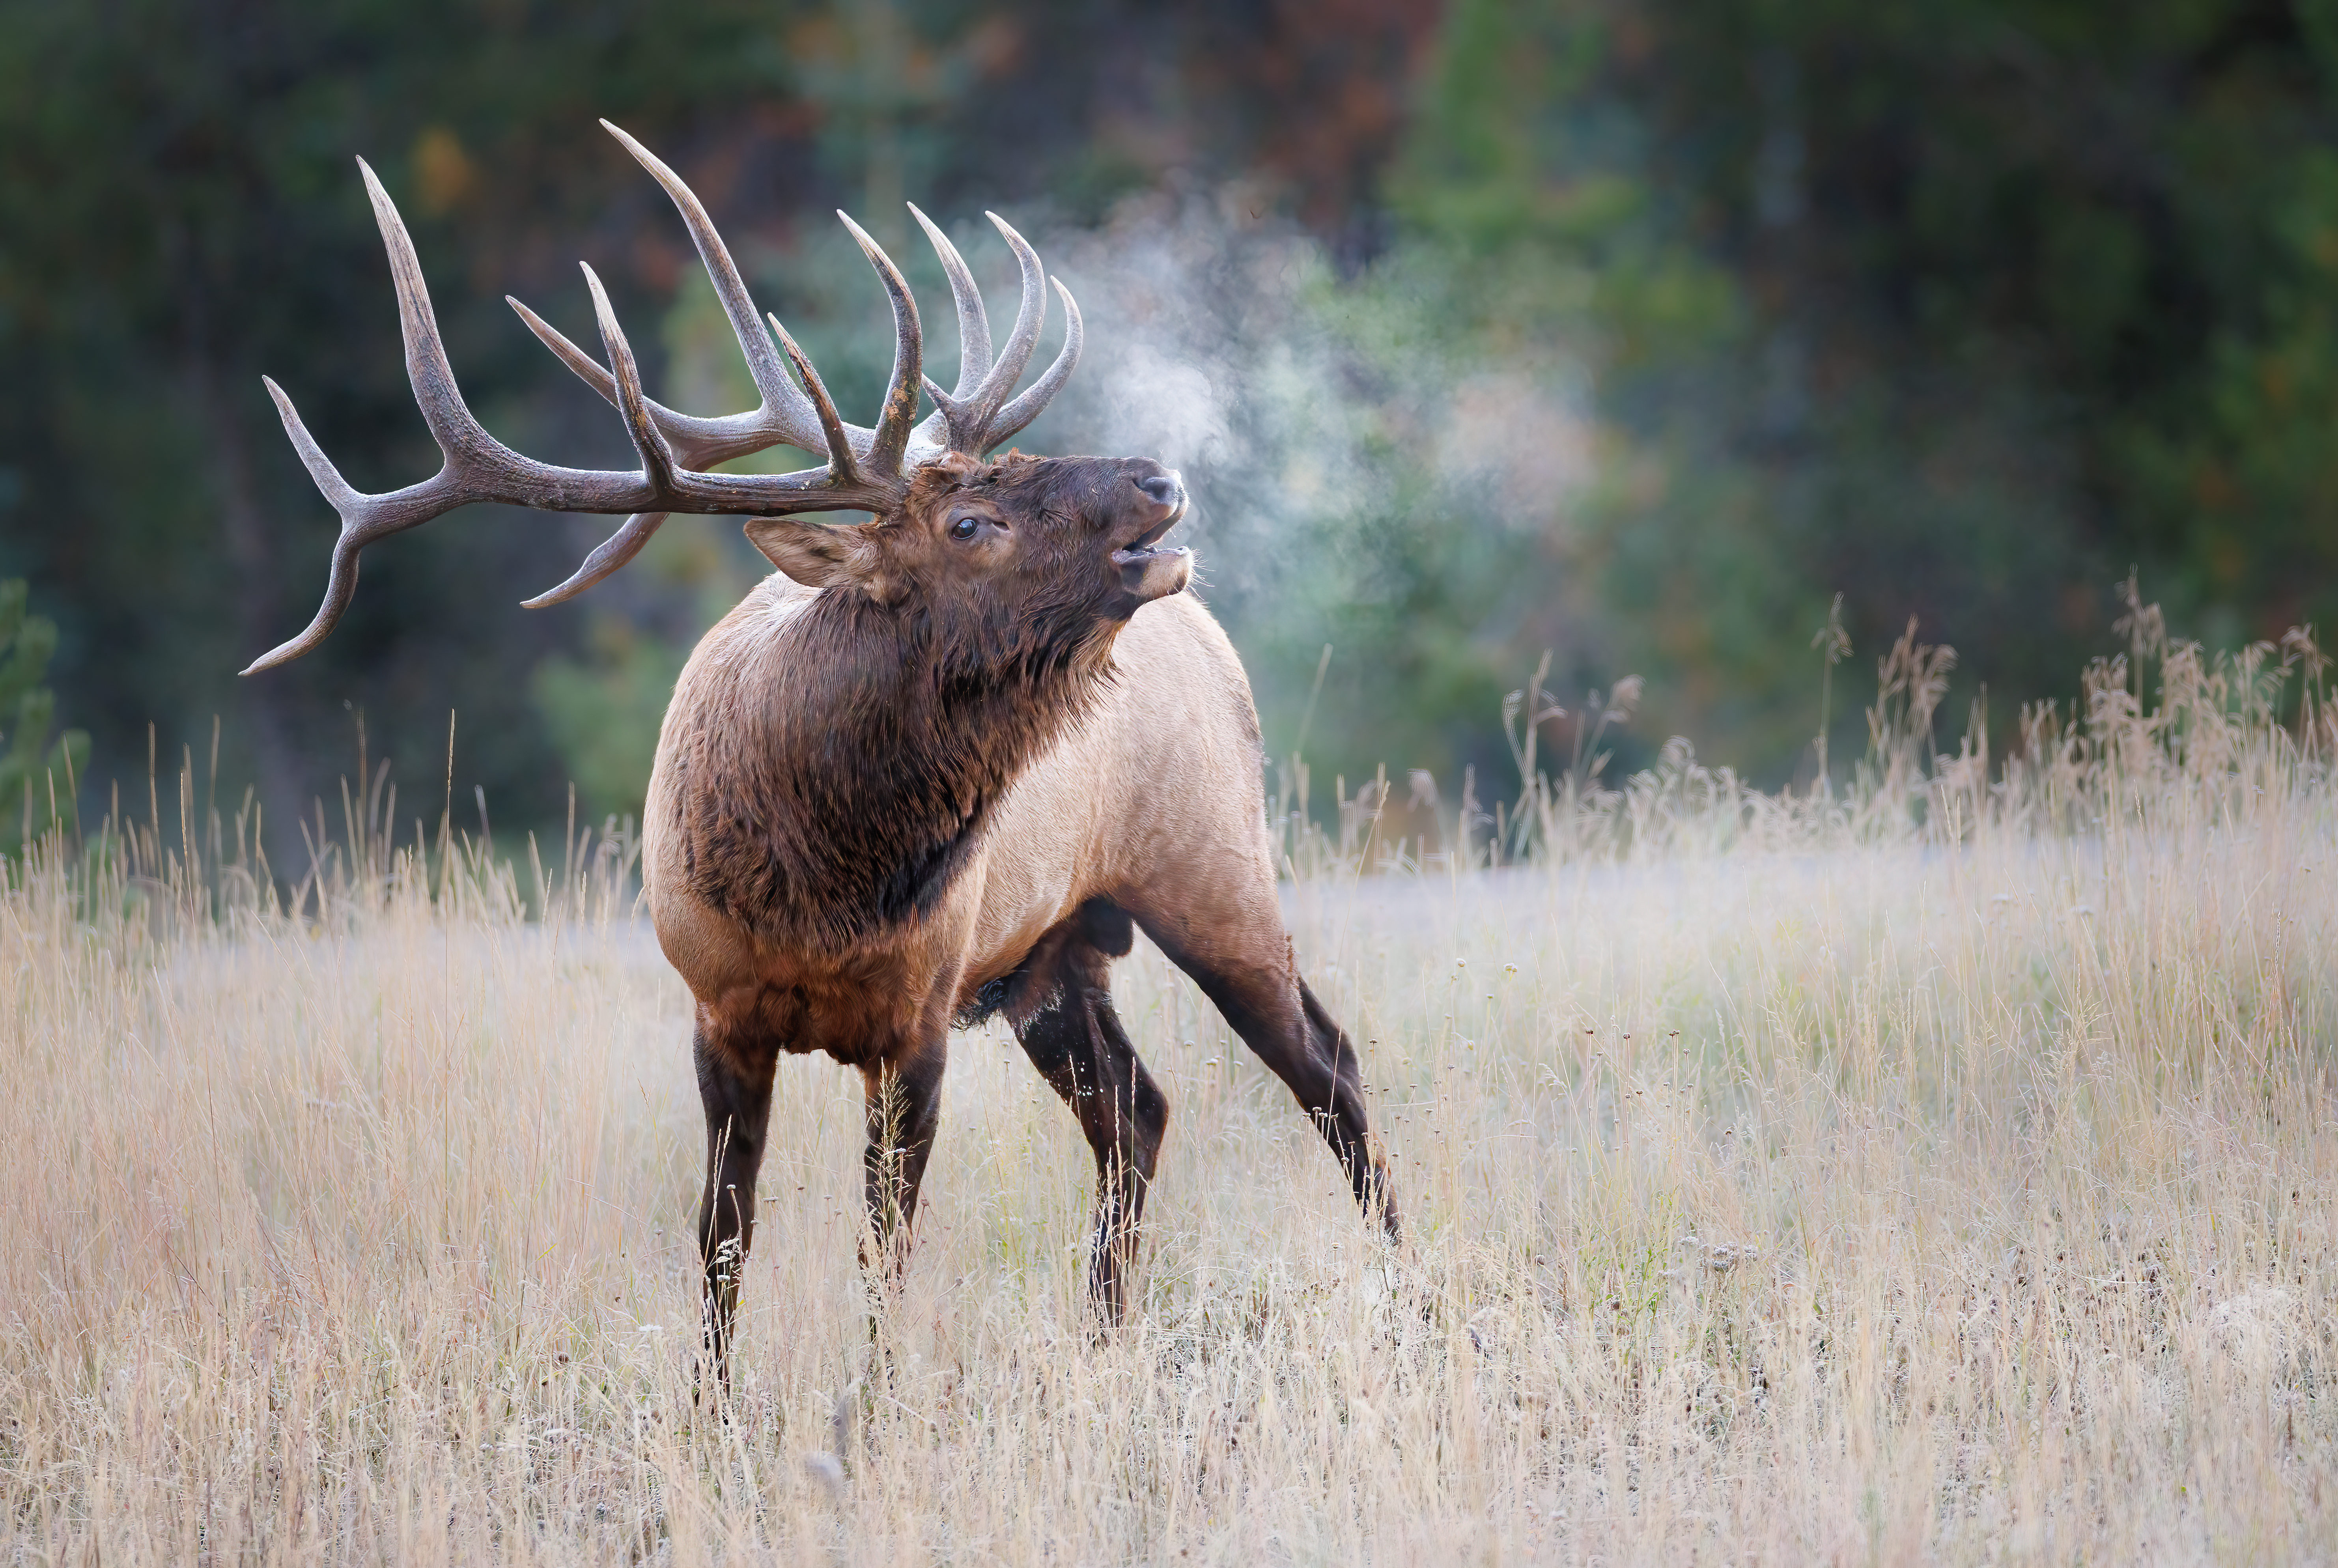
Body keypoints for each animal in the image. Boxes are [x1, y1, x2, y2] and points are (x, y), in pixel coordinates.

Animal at [246, 123, 1393, 1374]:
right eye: (970, 520)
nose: (1158, 480)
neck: (820, 877)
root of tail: (1216, 638)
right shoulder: (718, 1011)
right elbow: (722, 1239)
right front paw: (711, 1403)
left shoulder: (919, 1019)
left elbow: (882, 1250)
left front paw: (874, 1399)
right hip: (1054, 955)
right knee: (1137, 1111)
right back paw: (1103, 1336)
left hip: (1212, 870)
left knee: (1328, 1072)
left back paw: (1413, 1295)